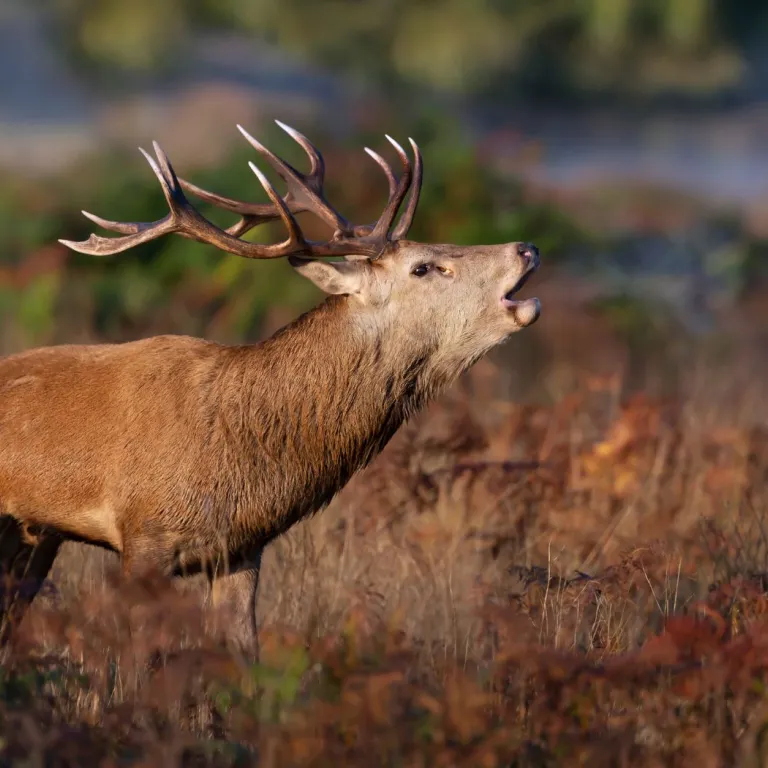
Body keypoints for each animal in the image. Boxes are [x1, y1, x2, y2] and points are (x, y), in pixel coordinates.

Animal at [0, 120, 540, 655]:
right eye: (424, 267)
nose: (526, 248)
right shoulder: (143, 534)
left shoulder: (242, 550)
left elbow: (244, 653)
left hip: (35, 537)